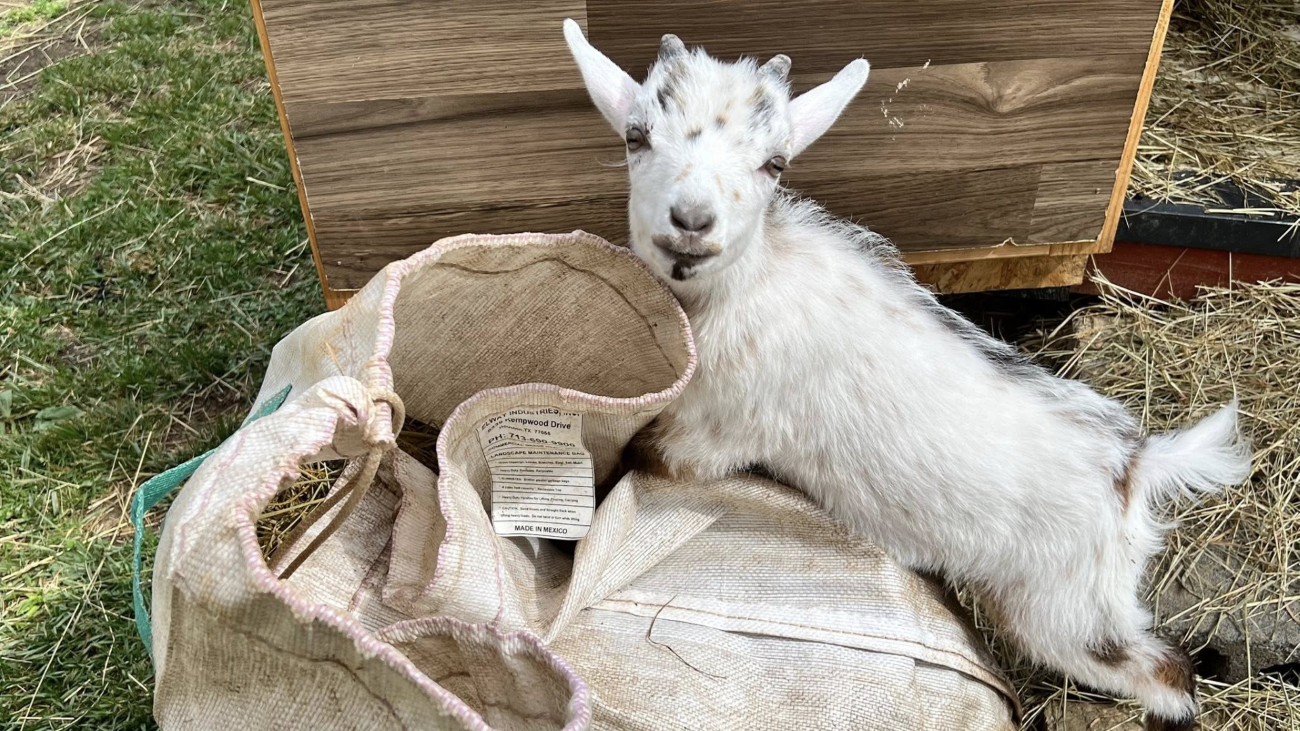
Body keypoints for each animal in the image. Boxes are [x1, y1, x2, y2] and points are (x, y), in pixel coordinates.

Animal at [562, 20, 1251, 730]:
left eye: (775, 163)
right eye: (636, 135)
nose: (692, 224)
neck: (746, 285)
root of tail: (1135, 465)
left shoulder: (709, 433)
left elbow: (642, 461)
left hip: (1069, 610)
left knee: (1165, 671)